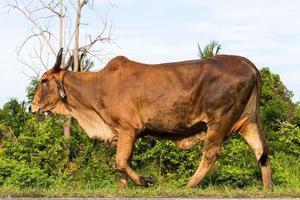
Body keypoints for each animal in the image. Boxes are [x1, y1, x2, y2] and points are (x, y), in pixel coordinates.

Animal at [29, 48, 272, 188]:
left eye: (44, 80)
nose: (32, 107)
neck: (98, 87)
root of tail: (248, 64)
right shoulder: (122, 133)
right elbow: (123, 163)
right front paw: (123, 188)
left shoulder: (128, 129)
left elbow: (120, 161)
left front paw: (144, 181)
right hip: (247, 121)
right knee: (261, 150)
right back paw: (267, 187)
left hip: (219, 121)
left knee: (211, 153)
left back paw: (188, 185)